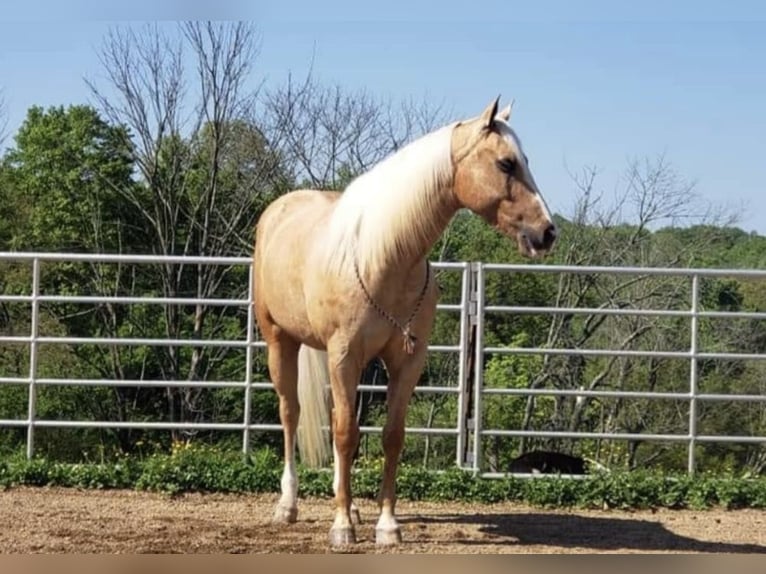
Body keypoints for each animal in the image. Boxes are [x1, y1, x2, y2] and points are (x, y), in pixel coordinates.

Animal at [252, 97, 557, 547]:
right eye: (506, 163)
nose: (547, 232)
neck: (384, 256)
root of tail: (278, 210)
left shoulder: (404, 362)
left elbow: (389, 437)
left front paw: (385, 525)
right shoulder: (344, 355)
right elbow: (345, 433)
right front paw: (341, 528)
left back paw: (350, 505)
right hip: (280, 342)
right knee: (291, 414)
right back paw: (288, 505)